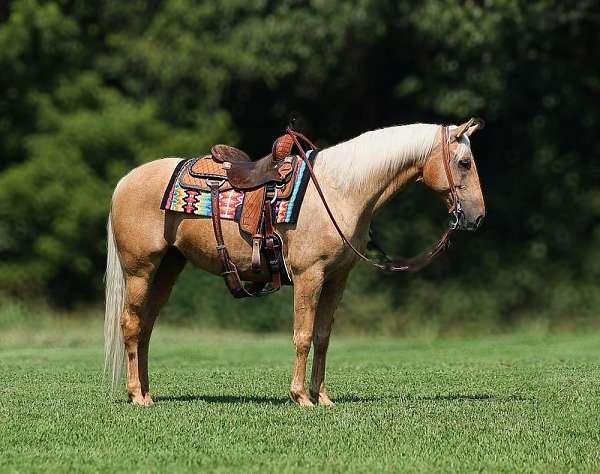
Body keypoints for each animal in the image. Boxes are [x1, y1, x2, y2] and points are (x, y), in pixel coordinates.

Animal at [105, 120, 486, 406]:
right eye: (464, 163)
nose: (477, 217)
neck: (338, 192)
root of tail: (125, 181)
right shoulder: (309, 275)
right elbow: (302, 335)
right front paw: (301, 397)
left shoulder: (336, 279)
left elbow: (323, 336)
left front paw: (323, 397)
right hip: (140, 269)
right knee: (131, 324)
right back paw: (136, 395)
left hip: (168, 267)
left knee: (146, 326)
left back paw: (148, 393)